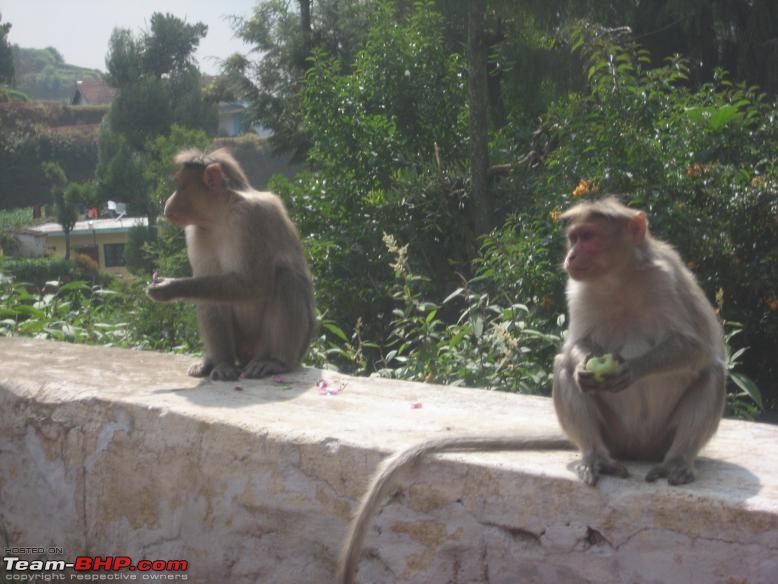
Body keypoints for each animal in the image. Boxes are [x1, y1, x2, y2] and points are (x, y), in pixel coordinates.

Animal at [146, 148, 316, 380]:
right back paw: (219, 362)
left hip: (278, 346)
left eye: (180, 187)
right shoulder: (196, 232)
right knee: (210, 297)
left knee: (286, 280)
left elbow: (256, 284)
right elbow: (207, 281)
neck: (220, 214)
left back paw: (276, 361)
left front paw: (170, 287)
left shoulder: (252, 216)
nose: (167, 203)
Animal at [336, 197, 724, 584]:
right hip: (613, 433)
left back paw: (677, 460)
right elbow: (574, 348)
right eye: (573, 238)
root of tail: (634, 449)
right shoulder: (578, 288)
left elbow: (701, 348)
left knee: (713, 373)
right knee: (562, 366)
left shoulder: (670, 278)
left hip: (658, 438)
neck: (619, 279)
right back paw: (595, 456)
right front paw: (586, 367)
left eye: (589, 237)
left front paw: (630, 370)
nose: (570, 256)